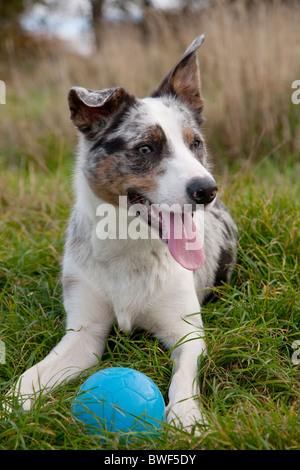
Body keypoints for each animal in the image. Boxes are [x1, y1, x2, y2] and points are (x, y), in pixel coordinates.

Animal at [12, 35, 237, 434]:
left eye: (195, 143)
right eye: (145, 148)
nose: (206, 190)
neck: (129, 245)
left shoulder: (188, 335)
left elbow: (184, 377)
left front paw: (186, 418)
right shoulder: (83, 336)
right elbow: (30, 376)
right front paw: (11, 404)